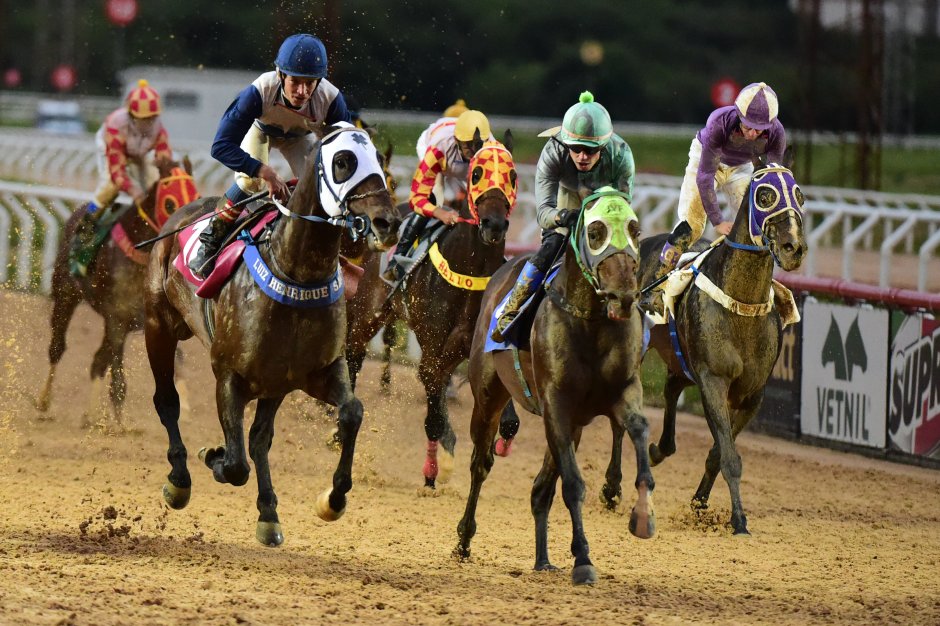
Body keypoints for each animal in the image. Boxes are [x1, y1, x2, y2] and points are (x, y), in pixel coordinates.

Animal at [36, 156, 199, 427]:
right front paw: (120, 424)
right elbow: (118, 373)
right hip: (66, 294)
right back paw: (44, 401)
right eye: (169, 202)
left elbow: (178, 359)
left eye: (196, 195)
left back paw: (90, 415)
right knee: (57, 348)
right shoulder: (117, 317)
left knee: (97, 361)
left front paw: (184, 408)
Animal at [143, 123, 401, 546]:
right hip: (158, 327)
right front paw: (211, 456)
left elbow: (350, 413)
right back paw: (179, 479)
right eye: (343, 162)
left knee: (259, 438)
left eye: (379, 161)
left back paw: (268, 513)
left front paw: (332, 498)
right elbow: (234, 464)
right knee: (167, 401)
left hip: (271, 384)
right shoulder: (228, 376)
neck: (297, 272)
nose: (387, 223)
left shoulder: (312, 372)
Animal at [366, 135, 519, 488]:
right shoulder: (433, 351)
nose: (494, 224)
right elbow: (433, 416)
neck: (470, 273)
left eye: (512, 175)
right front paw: (436, 468)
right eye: (476, 173)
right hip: (369, 313)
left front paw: (501, 438)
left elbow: (506, 416)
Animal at [455, 187, 655, 585]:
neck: (590, 321)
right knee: (480, 463)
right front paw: (583, 559)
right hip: (488, 397)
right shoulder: (557, 405)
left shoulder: (621, 392)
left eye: (635, 229)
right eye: (595, 231)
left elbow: (639, 428)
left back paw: (543, 559)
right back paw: (464, 539)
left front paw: (642, 514)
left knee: (539, 490)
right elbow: (574, 484)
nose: (624, 295)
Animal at [636, 159, 807, 535]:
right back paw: (611, 488)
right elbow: (729, 456)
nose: (794, 248)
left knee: (671, 389)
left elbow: (719, 451)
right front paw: (738, 520)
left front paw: (700, 505)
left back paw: (658, 450)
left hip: (680, 360)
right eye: (765, 195)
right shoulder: (713, 381)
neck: (741, 305)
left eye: (800, 194)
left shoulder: (752, 394)